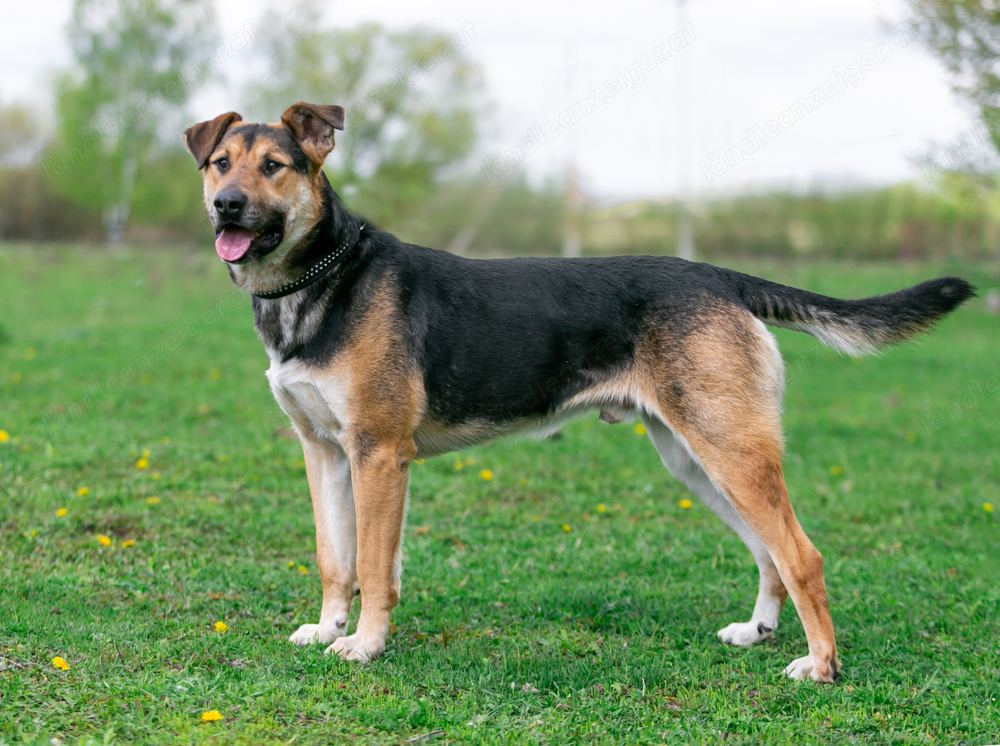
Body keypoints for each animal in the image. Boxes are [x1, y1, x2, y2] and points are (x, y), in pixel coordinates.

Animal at [184, 103, 972, 680]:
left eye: (275, 166)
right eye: (221, 163)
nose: (226, 206)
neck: (321, 281)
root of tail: (720, 277)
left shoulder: (378, 455)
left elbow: (375, 569)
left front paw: (365, 645)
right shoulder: (323, 453)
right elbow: (335, 560)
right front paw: (327, 629)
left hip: (731, 452)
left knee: (801, 555)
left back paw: (821, 664)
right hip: (696, 460)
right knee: (769, 553)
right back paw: (759, 631)